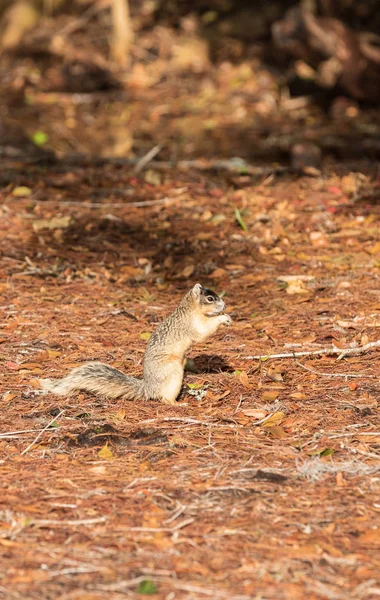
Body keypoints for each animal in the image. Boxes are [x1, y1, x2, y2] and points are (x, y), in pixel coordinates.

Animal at [40, 284, 233, 406]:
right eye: (210, 298)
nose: (225, 305)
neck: (192, 310)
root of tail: (149, 388)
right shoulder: (189, 325)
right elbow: (202, 332)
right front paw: (223, 318)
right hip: (172, 371)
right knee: (164, 398)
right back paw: (177, 404)